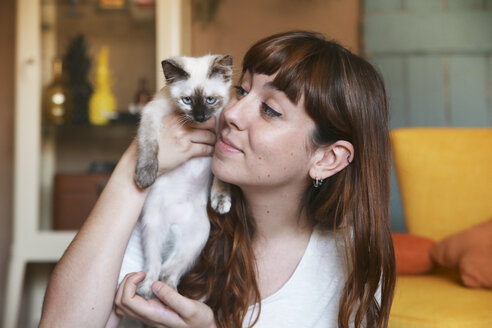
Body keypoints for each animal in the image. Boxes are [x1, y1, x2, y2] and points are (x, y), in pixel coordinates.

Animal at [120, 55, 234, 298]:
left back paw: (169, 293)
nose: (200, 117)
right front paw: (145, 176)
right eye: (187, 100)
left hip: (198, 237)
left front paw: (221, 201)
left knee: (169, 270)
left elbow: (222, 177)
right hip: (152, 229)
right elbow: (149, 145)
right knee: (155, 267)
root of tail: (174, 224)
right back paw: (147, 290)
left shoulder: (223, 136)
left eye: (210, 100)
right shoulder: (152, 113)